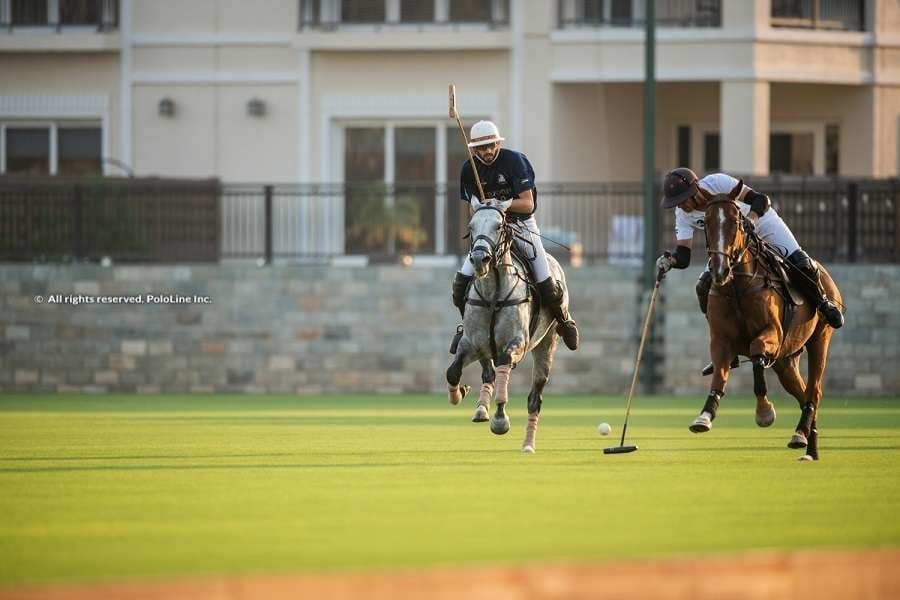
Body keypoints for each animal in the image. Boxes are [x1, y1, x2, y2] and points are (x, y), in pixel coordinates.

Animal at [444, 199, 568, 452]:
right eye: (471, 226)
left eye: (499, 226)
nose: (479, 259)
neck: (493, 293)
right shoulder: (471, 342)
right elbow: (453, 372)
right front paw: (460, 393)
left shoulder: (517, 344)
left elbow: (503, 367)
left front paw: (500, 420)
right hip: (485, 348)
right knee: (488, 373)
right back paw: (481, 409)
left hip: (547, 345)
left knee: (534, 399)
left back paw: (528, 444)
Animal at [688, 185, 844, 462]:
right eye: (705, 223)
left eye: (737, 222)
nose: (720, 270)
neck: (738, 286)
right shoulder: (721, 341)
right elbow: (720, 374)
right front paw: (704, 416)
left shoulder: (771, 333)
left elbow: (757, 356)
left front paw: (764, 412)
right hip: (786, 360)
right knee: (803, 393)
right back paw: (808, 445)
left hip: (820, 339)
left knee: (814, 391)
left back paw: (801, 434)